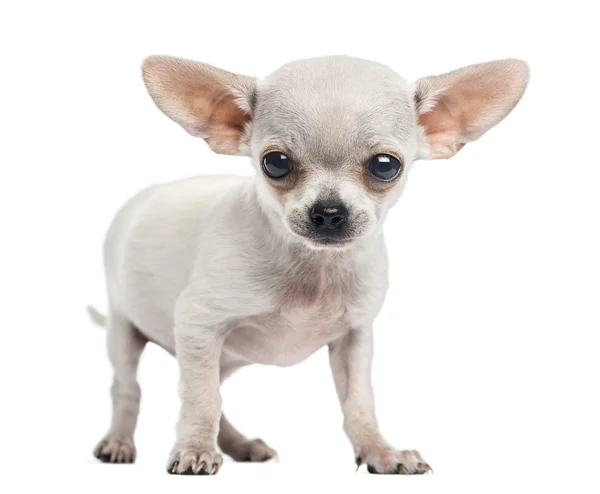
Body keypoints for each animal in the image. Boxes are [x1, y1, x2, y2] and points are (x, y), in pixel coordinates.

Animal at [91, 54, 528, 474]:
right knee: (128, 390)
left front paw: (379, 451)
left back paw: (240, 446)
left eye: (385, 165)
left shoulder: (353, 338)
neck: (315, 269)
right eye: (276, 163)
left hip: (223, 357)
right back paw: (120, 443)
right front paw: (195, 448)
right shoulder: (199, 326)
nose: (329, 212)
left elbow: (359, 403)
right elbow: (202, 400)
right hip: (125, 333)